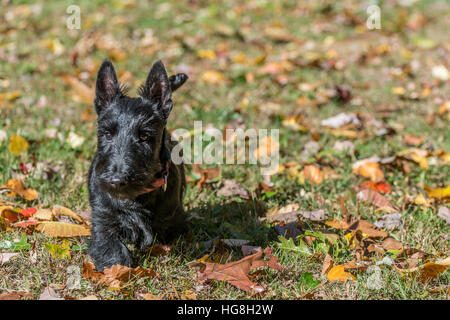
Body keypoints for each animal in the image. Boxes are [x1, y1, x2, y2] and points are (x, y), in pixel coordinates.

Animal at [88, 59, 188, 270]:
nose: (117, 180)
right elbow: (114, 251)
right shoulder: (103, 222)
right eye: (107, 134)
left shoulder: (174, 219)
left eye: (144, 136)